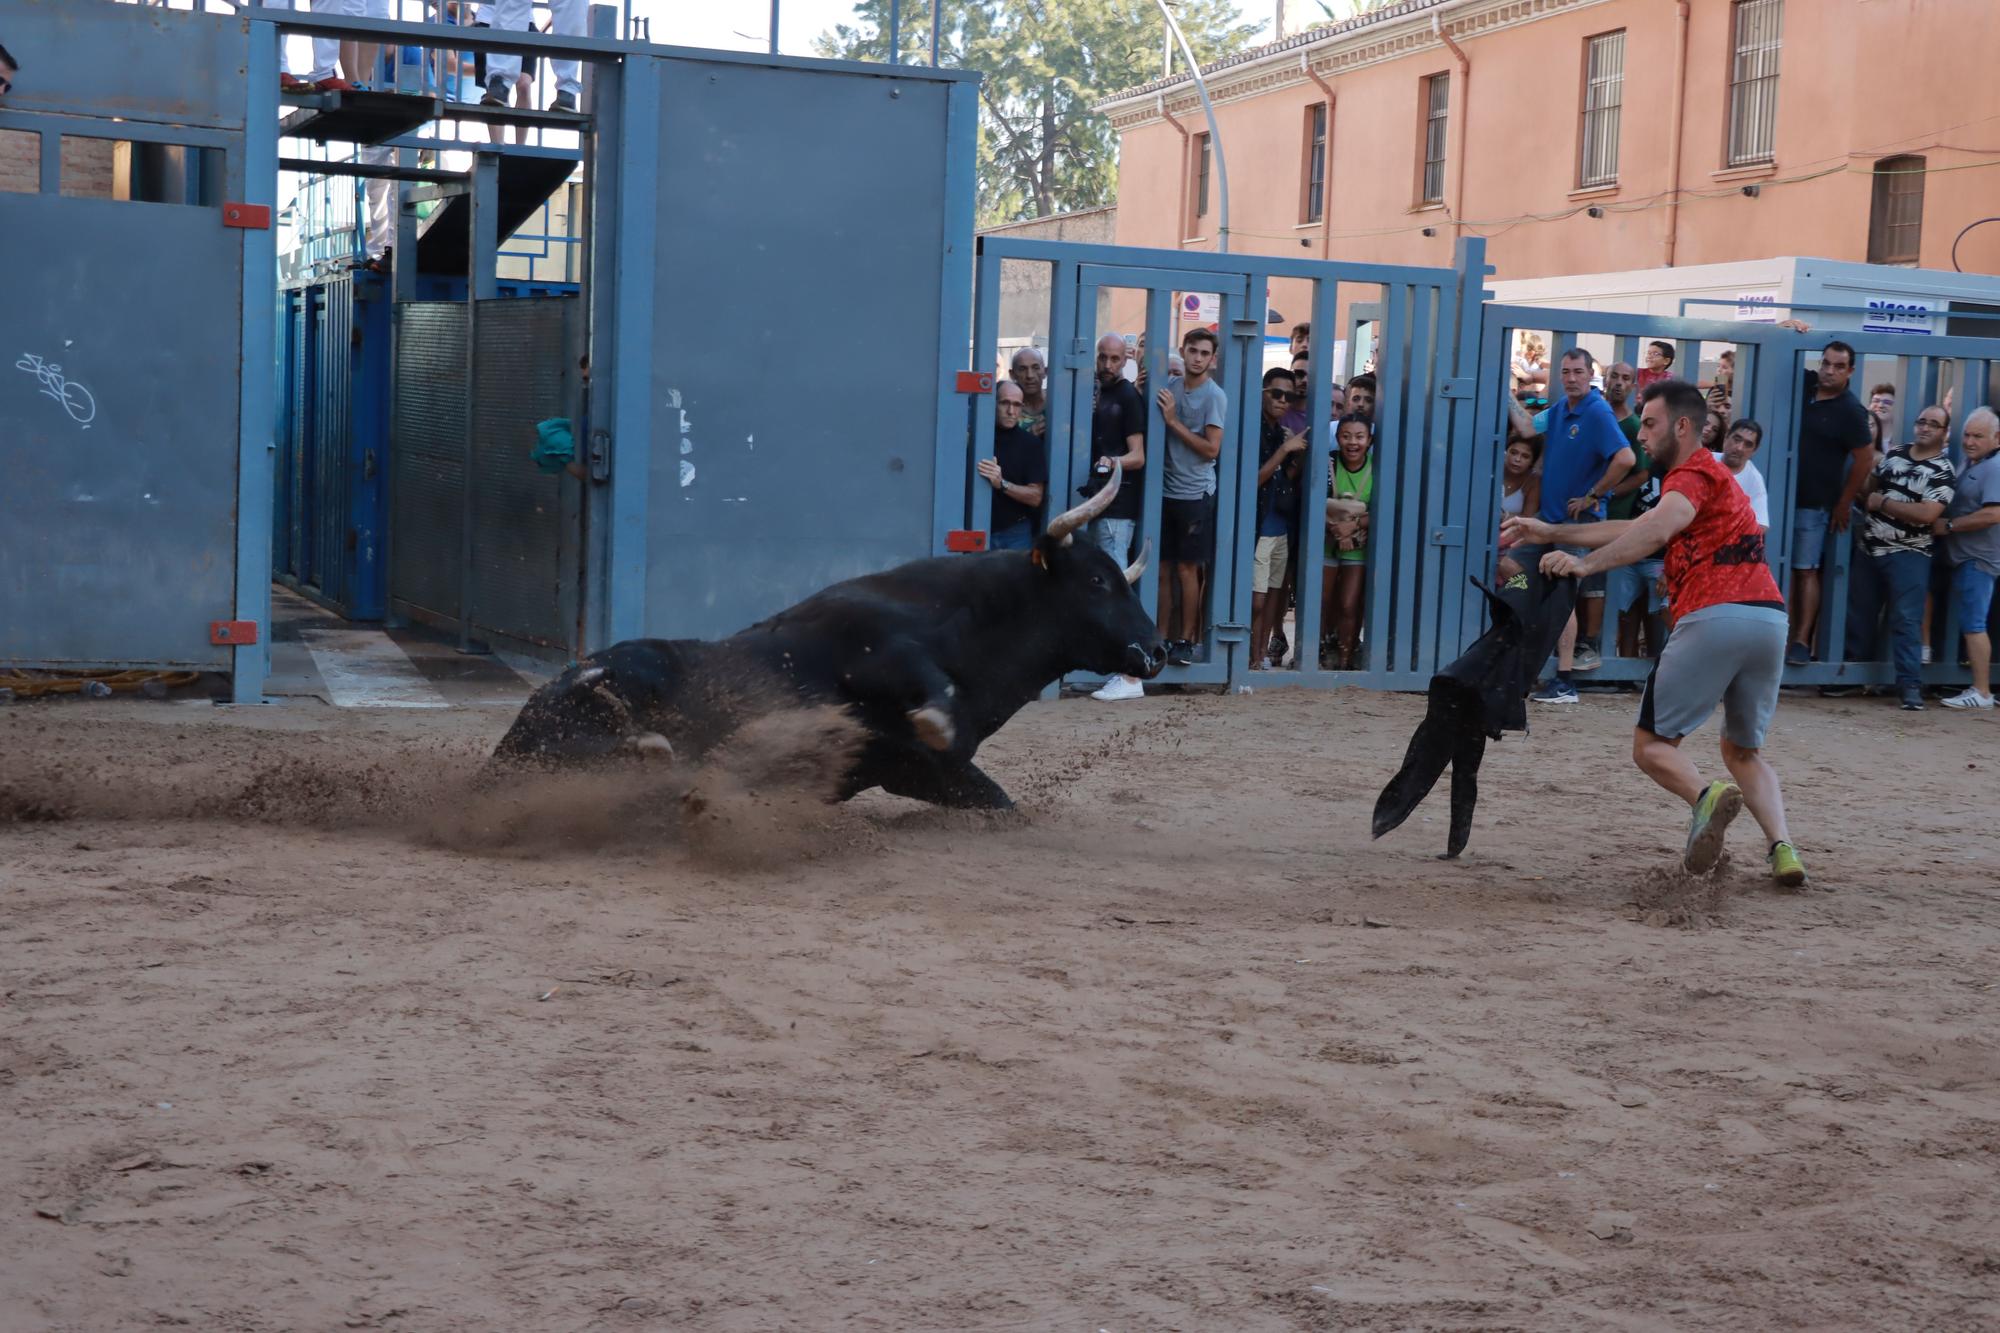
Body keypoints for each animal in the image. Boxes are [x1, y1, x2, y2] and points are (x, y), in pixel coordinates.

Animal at [490, 462, 1168, 804]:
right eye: (1098, 581)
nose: (1160, 648)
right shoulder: (867, 648)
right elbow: (927, 683)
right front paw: (936, 715)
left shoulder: (922, 772)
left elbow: (999, 803)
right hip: (619, 685)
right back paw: (651, 750)